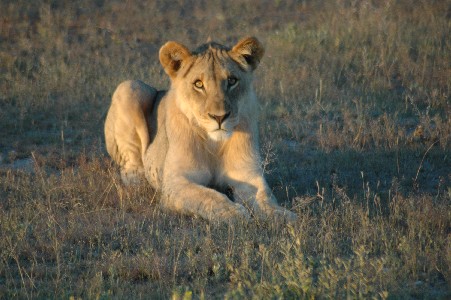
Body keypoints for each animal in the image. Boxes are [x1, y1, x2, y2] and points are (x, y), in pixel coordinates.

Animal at [104, 36, 298, 221]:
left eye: (232, 81)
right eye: (198, 84)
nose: (219, 117)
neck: (214, 143)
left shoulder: (248, 175)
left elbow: (264, 196)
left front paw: (282, 215)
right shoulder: (176, 182)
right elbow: (208, 196)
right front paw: (233, 212)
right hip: (129, 87)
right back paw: (137, 180)